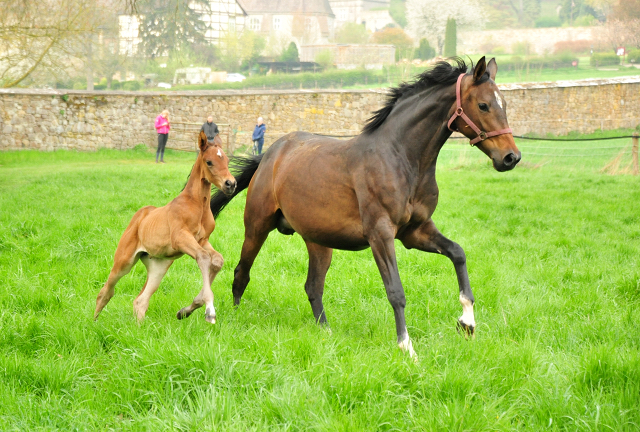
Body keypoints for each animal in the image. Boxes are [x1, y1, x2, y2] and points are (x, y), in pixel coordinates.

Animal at [94, 132, 236, 324]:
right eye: (209, 162)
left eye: (227, 160)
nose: (231, 184)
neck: (196, 205)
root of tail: (139, 217)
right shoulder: (181, 238)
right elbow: (204, 258)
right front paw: (209, 311)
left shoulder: (202, 240)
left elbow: (217, 260)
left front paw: (187, 310)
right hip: (124, 261)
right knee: (105, 292)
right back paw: (93, 323)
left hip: (159, 266)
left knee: (140, 300)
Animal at [210, 57, 520, 356]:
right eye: (483, 105)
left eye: (504, 104)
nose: (511, 157)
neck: (401, 158)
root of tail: (270, 155)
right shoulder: (380, 234)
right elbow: (396, 291)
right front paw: (407, 347)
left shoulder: (416, 231)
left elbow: (458, 253)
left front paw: (467, 323)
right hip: (257, 227)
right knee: (241, 273)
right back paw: (235, 318)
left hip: (318, 241)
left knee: (313, 286)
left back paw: (326, 332)